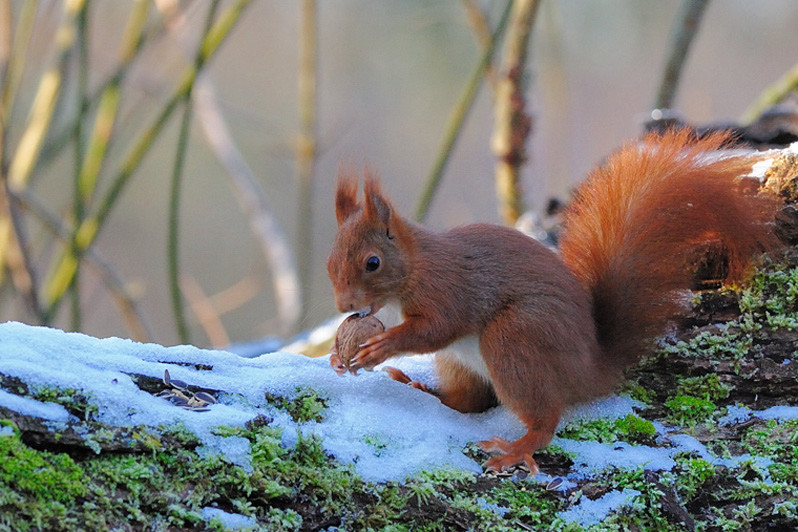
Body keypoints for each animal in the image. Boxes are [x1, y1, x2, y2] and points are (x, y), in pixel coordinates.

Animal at [326, 128, 782, 473]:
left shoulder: (447, 287)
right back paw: (419, 386)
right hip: (461, 363)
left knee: (544, 418)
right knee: (468, 402)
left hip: (514, 338)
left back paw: (518, 447)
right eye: (330, 262)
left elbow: (438, 326)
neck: (413, 267)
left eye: (372, 262)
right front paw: (337, 354)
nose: (344, 305)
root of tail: (593, 370)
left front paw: (383, 346)